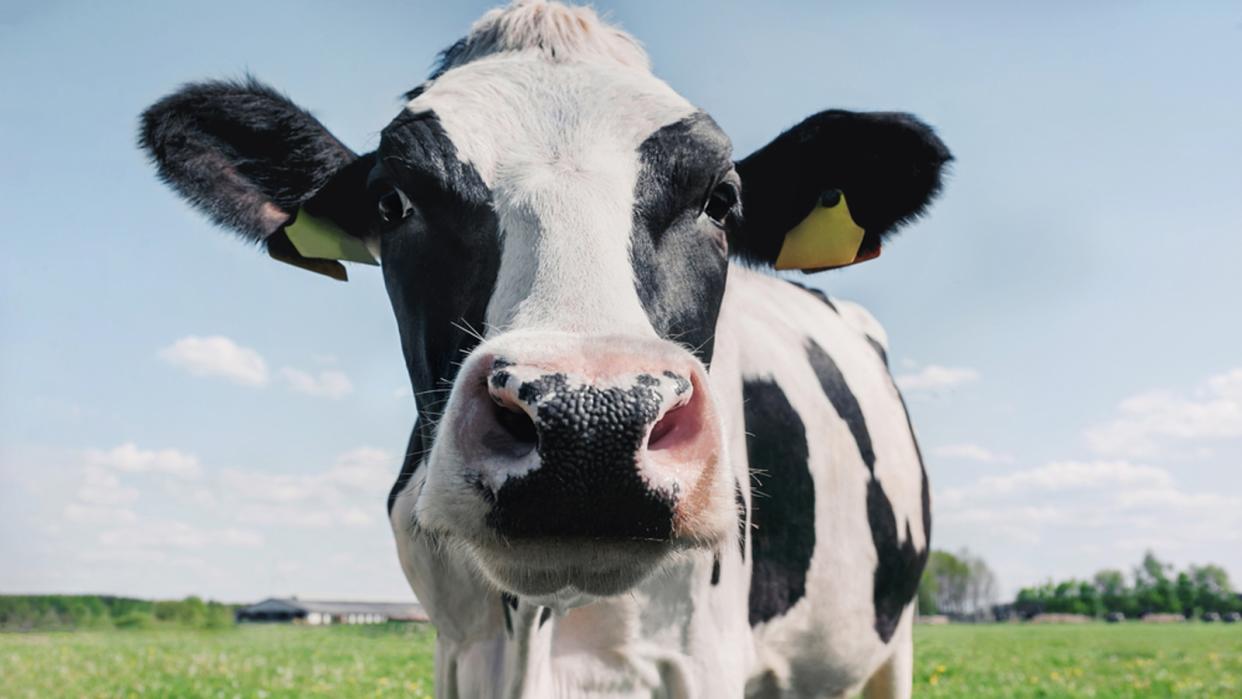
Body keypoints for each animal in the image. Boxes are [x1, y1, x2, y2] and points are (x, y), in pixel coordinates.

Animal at [138, 2, 948, 695]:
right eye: (393, 201)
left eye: (721, 200)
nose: (593, 424)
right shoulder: (458, 649)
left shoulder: (698, 654)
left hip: (893, 642)